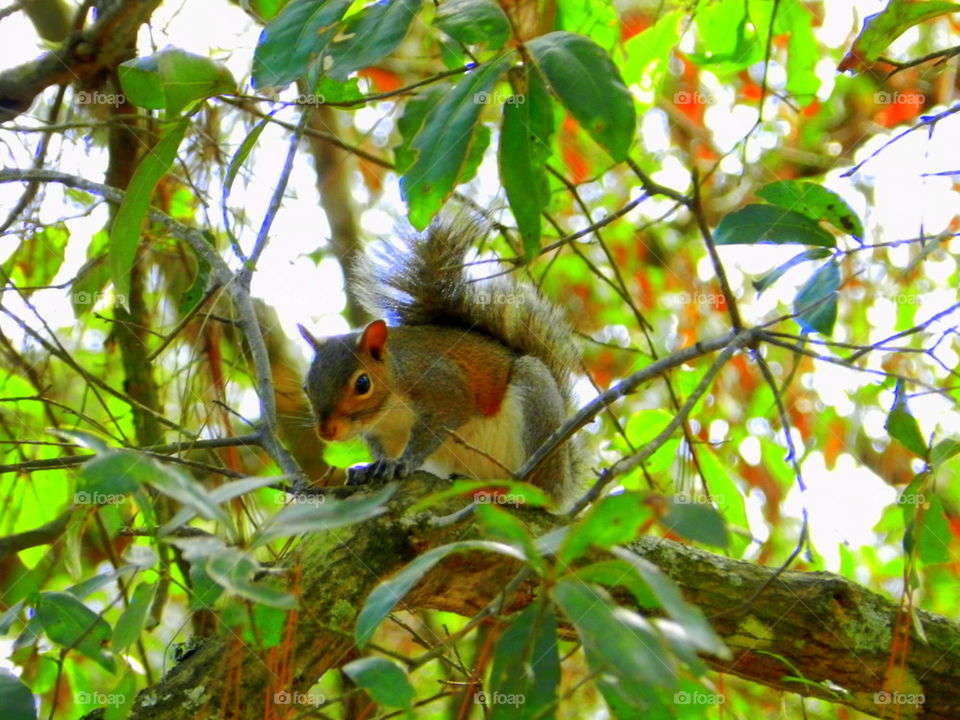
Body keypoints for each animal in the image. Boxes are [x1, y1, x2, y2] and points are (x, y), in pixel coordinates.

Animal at [298, 218, 581, 504]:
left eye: (363, 384)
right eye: (306, 387)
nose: (326, 432)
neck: (389, 407)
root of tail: (563, 484)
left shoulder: (443, 387)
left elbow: (441, 422)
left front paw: (403, 463)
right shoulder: (382, 432)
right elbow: (383, 451)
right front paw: (373, 467)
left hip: (537, 411)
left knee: (537, 490)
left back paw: (501, 490)